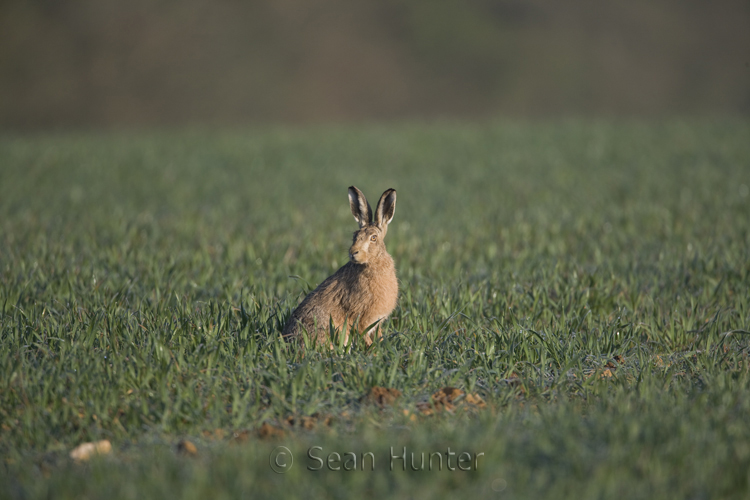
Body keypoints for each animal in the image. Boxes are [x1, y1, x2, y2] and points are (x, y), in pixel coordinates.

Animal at [282, 186, 398, 347]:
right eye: (355, 236)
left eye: (373, 238)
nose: (353, 252)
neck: (373, 263)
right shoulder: (361, 318)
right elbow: (364, 335)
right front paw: (373, 349)